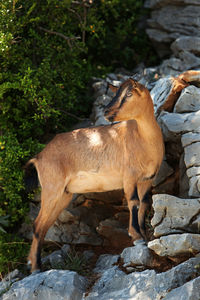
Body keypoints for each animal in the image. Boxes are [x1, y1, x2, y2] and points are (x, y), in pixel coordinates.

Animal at [24, 77, 164, 272]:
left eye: (129, 93)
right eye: (116, 93)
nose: (106, 112)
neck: (143, 139)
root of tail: (39, 157)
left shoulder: (147, 179)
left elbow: (143, 204)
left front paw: (143, 235)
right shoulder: (129, 177)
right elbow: (133, 202)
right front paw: (137, 238)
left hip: (64, 195)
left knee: (44, 226)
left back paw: (33, 263)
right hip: (52, 189)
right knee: (37, 225)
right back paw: (36, 267)